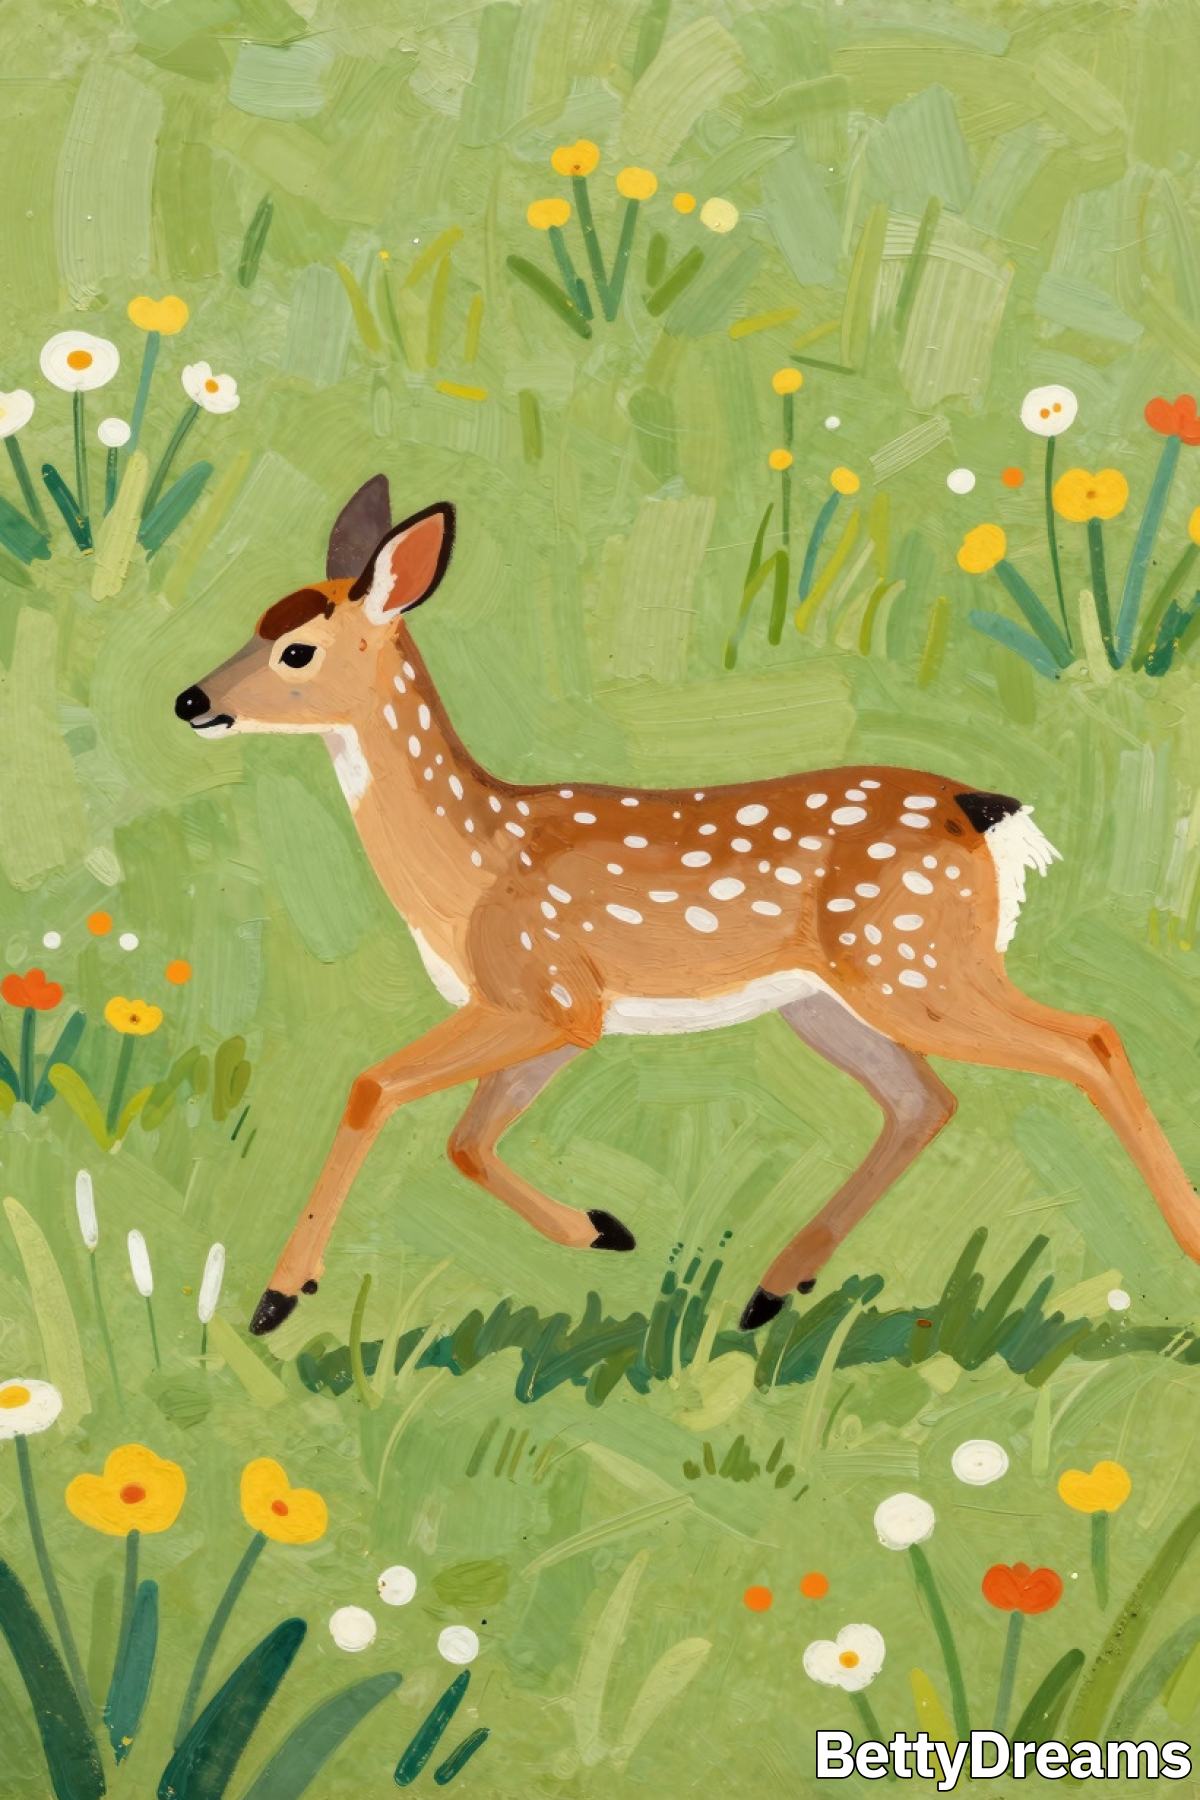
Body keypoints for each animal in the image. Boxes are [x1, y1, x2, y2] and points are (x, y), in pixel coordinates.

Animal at [175, 477, 1200, 1338]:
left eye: (297, 648)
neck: (469, 864)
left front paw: (276, 1298)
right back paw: (770, 1291)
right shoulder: (564, 1014)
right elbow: (468, 1141)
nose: (189, 699)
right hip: (834, 997)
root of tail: (980, 809)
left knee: (1091, 1039)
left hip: (914, 963)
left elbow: (373, 1087)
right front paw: (604, 1228)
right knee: (925, 1100)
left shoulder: (540, 991)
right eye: (255, 620)